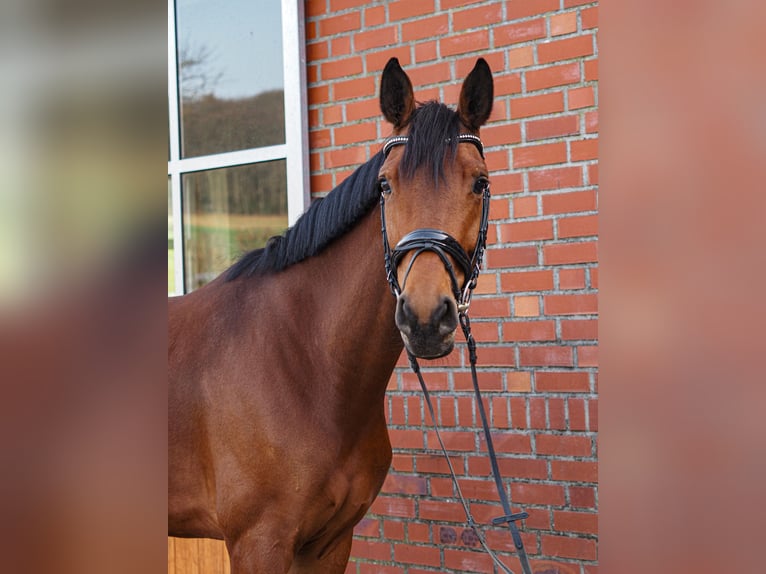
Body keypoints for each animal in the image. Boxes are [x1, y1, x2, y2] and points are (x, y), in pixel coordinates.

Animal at [168, 57, 494, 573]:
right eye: (385, 185)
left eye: (480, 183)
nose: (424, 318)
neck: (306, 365)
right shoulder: (257, 543)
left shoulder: (331, 541)